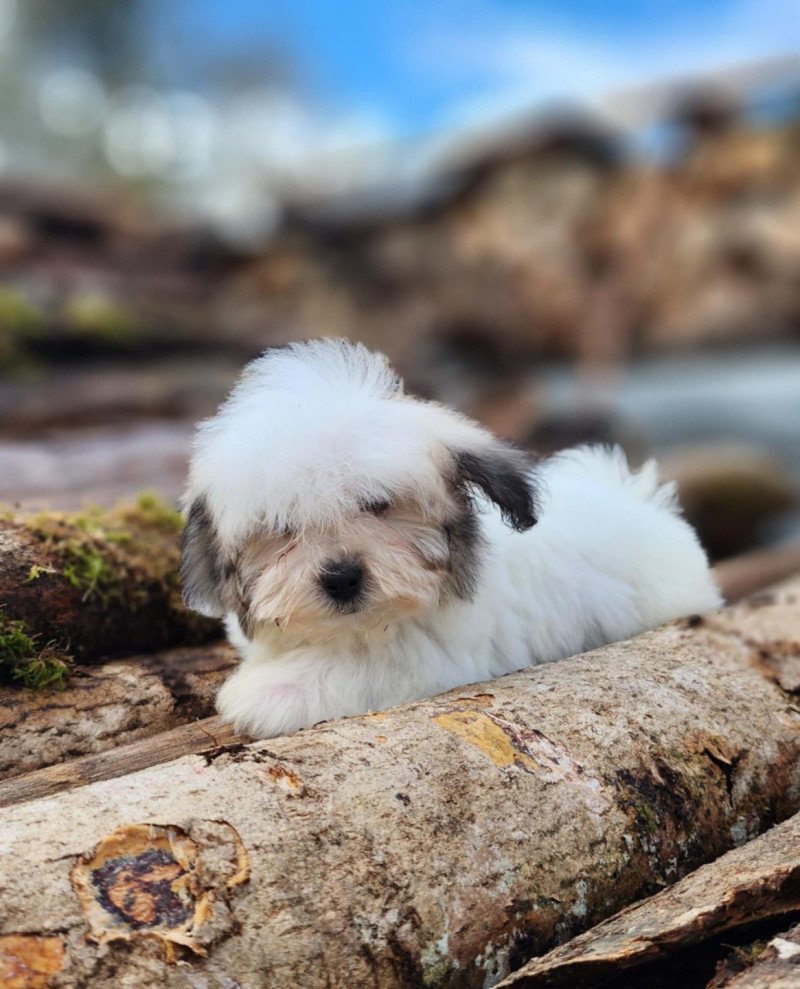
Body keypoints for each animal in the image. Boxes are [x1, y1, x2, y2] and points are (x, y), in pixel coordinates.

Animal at [180, 340, 720, 732]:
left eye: (378, 505)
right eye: (283, 527)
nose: (341, 578)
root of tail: (640, 503)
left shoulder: (430, 658)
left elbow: (354, 669)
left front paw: (266, 694)